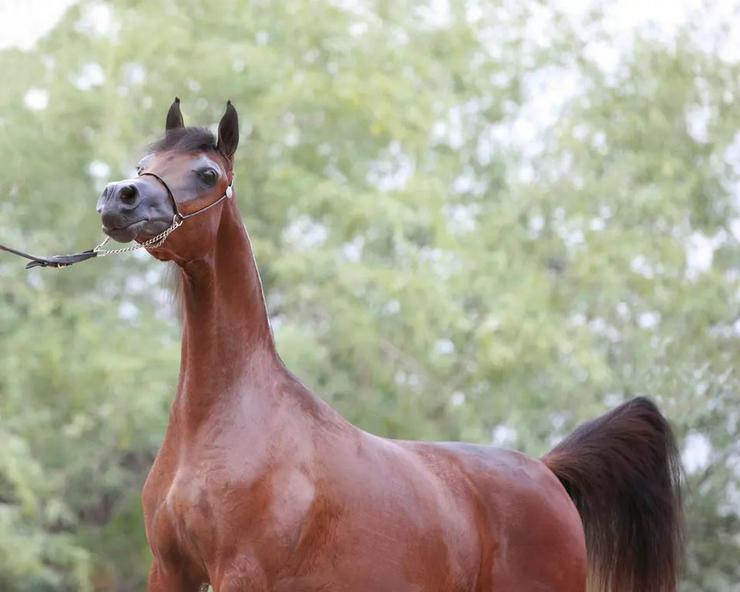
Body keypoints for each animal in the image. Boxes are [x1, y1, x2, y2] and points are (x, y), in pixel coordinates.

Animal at [97, 97, 684, 592]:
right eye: (146, 161)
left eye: (207, 173)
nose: (120, 197)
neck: (226, 416)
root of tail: (546, 470)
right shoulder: (170, 569)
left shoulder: (241, 573)